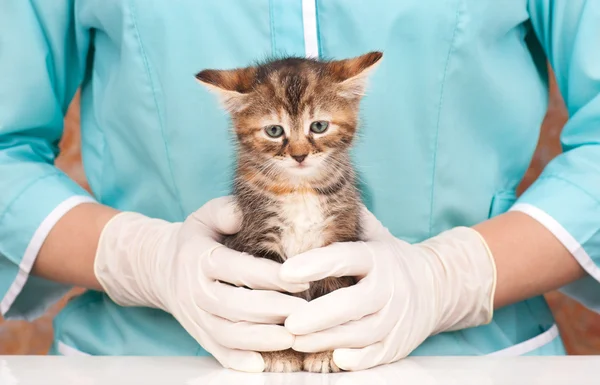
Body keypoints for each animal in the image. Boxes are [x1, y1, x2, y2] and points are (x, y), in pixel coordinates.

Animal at [197, 51, 384, 372]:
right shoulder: (258, 238)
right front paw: (279, 354)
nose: (299, 155)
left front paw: (325, 351)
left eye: (319, 126)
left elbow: (333, 298)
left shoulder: (337, 241)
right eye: (274, 131)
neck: (300, 189)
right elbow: (271, 303)